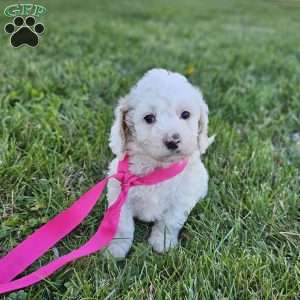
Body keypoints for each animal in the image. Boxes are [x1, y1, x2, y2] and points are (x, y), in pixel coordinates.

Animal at [105, 68, 213, 258]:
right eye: (149, 118)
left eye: (186, 114)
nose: (173, 140)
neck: (157, 167)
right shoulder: (119, 193)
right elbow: (122, 225)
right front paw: (116, 249)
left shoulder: (181, 200)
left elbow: (169, 222)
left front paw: (163, 243)